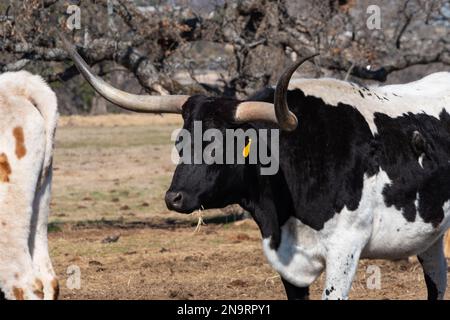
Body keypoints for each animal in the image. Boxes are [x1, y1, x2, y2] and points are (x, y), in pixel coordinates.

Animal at [64, 37, 450, 300]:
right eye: (180, 142)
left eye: (221, 145)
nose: (174, 198)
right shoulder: (285, 257)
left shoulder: (346, 246)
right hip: (430, 232)